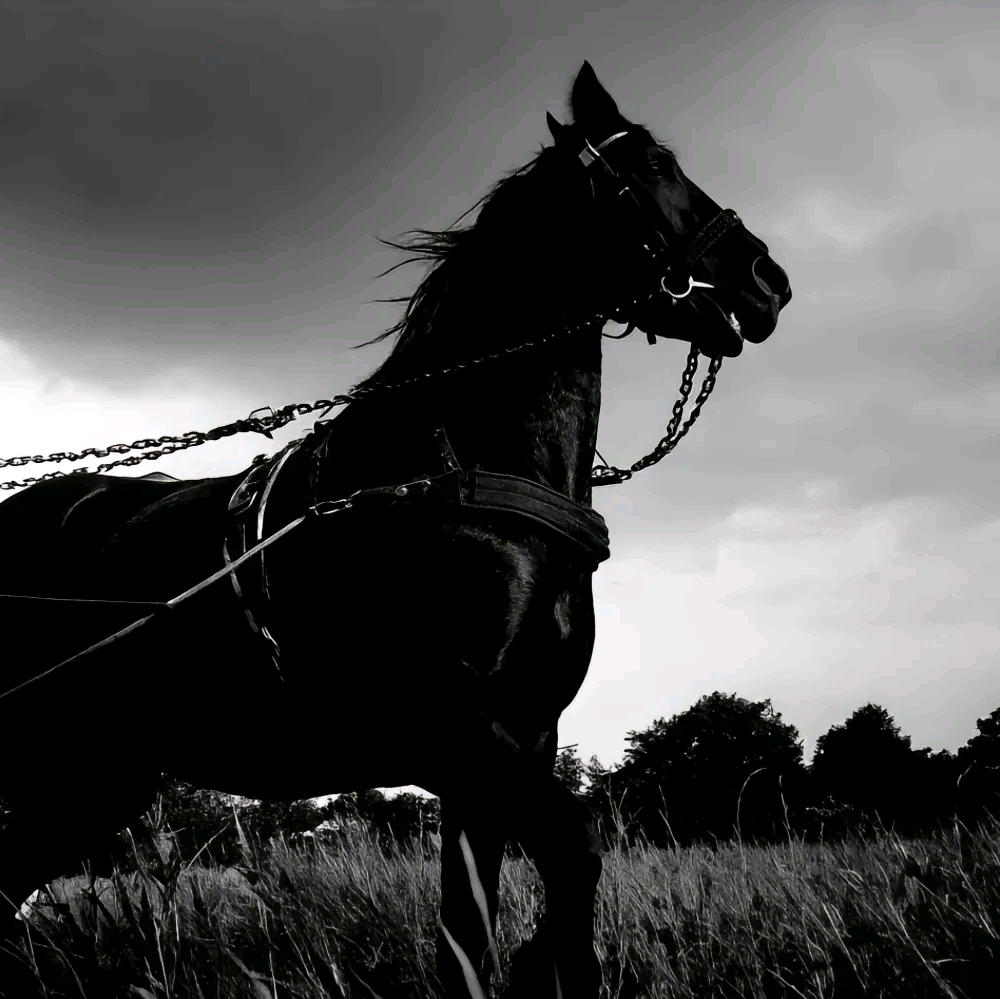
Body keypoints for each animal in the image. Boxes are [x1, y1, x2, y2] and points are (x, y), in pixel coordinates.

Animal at [0, 61, 790, 997]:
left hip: (95, 771)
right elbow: (559, 868)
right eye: (657, 168)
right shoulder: (467, 732)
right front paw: (542, 959)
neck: (457, 470)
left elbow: (496, 917)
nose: (768, 280)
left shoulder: (518, 744)